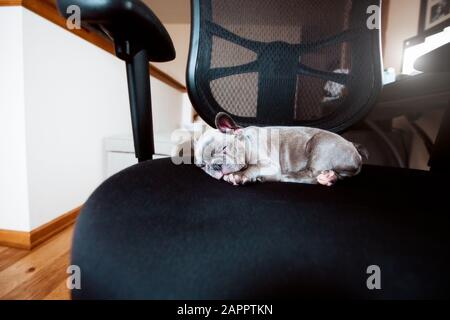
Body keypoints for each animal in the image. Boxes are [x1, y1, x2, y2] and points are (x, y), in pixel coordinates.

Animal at [182, 114, 366, 186]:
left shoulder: (268, 164)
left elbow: (254, 167)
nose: (215, 166)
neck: (247, 141)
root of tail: (355, 151)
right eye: (202, 166)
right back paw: (329, 177)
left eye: (224, 148)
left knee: (310, 175)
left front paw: (239, 175)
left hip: (320, 145)